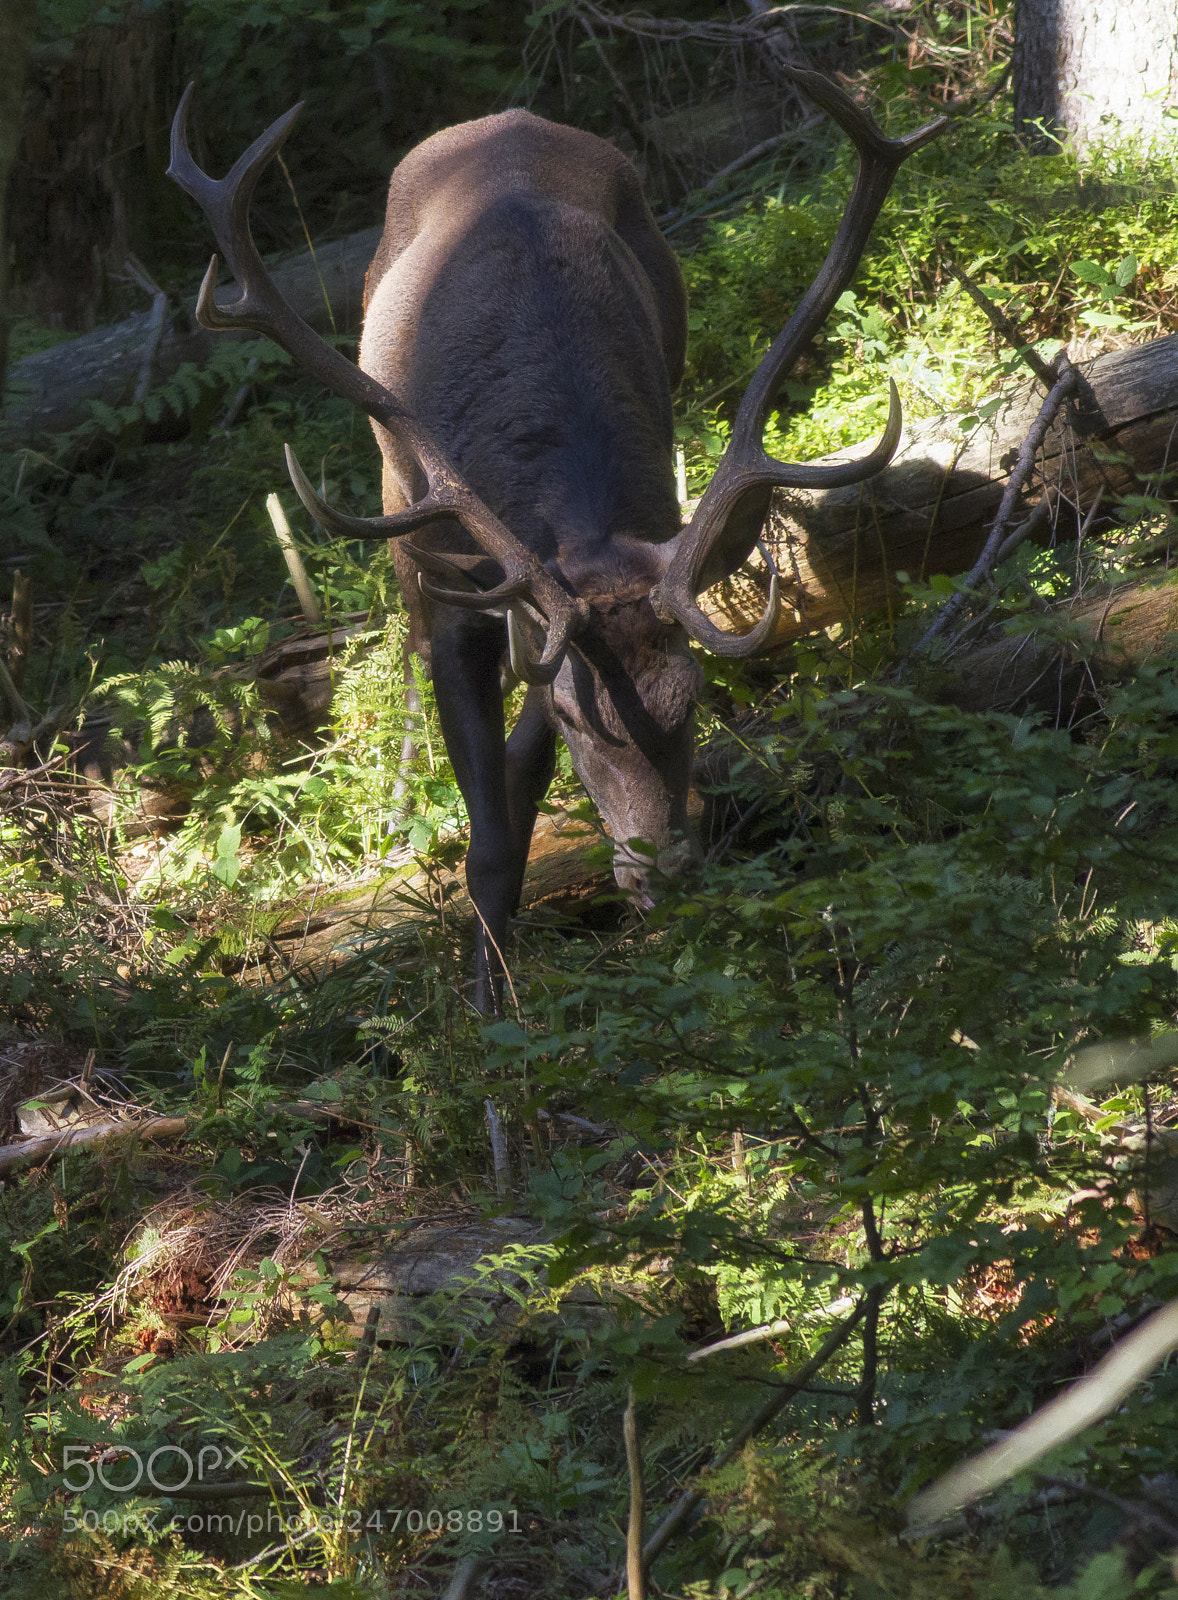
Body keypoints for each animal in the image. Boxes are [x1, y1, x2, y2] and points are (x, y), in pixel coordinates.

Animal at [168, 72, 944, 1013]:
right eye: (581, 719)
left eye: (693, 697)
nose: (664, 874)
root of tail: (505, 117)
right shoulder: (474, 595)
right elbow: (491, 839)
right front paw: (486, 1015)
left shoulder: (559, 605)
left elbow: (515, 778)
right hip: (397, 495)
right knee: (402, 645)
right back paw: (398, 811)